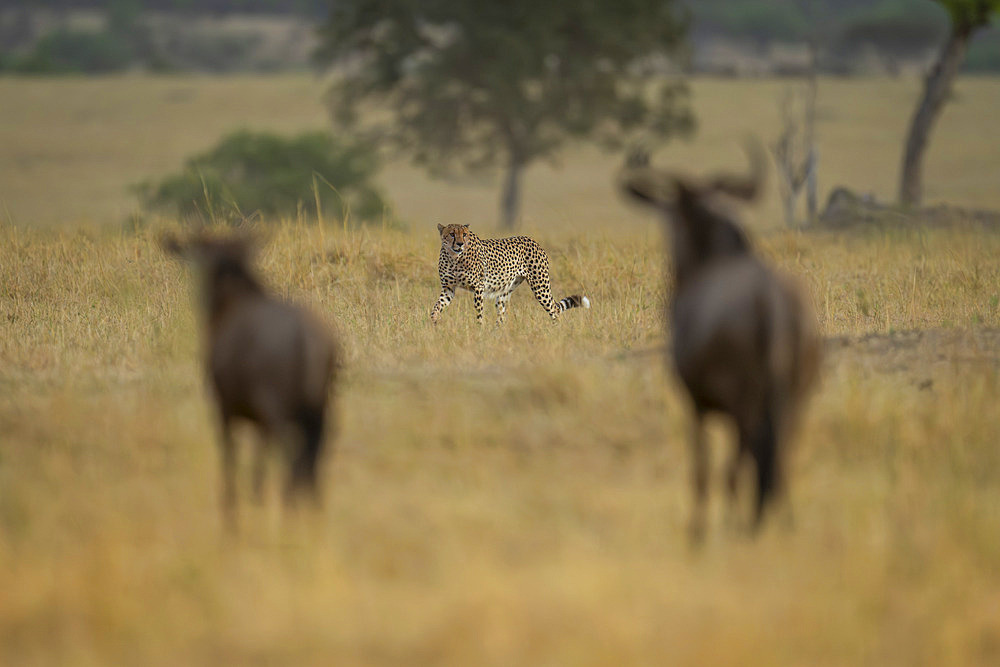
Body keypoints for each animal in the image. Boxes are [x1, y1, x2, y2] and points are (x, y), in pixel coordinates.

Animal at [428, 224, 584, 326]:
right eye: (452, 234)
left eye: (464, 234)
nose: (460, 243)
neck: (454, 258)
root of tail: (533, 240)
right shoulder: (449, 288)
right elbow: (437, 306)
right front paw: (434, 320)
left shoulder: (478, 288)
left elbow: (479, 312)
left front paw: (479, 329)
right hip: (504, 291)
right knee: (502, 316)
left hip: (540, 287)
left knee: (554, 309)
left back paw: (556, 330)